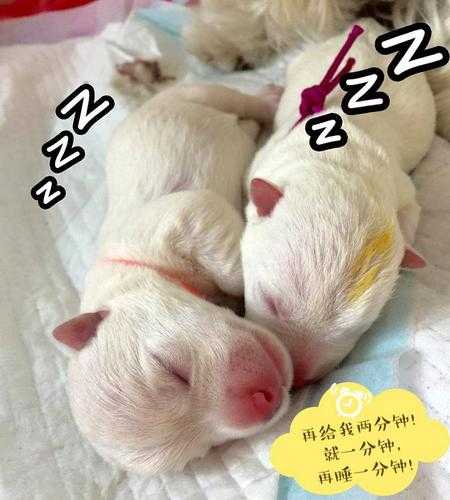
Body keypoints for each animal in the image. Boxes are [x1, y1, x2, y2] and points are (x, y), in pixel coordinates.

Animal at [53, 83, 293, 474]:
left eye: (170, 369)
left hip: (193, 94)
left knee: (237, 101)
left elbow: (228, 263)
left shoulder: (183, 215)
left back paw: (268, 98)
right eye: (206, 450)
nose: (263, 397)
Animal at [240, 19, 447, 387]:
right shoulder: (264, 158)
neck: (338, 159)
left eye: (355, 329)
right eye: (271, 303)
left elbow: (411, 212)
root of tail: (369, 27)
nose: (297, 379)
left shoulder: (401, 187)